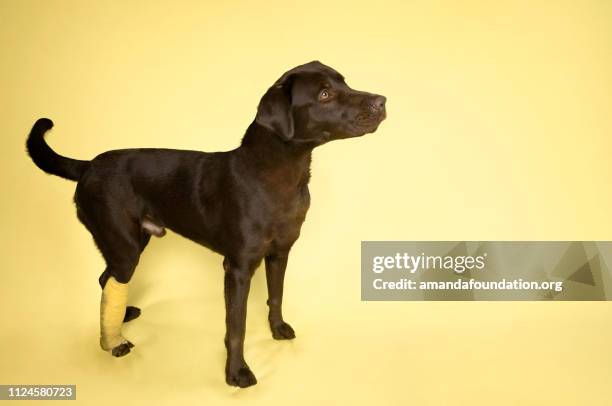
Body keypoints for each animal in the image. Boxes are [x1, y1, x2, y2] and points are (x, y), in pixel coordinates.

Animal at [26, 60, 388, 386]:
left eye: (344, 82)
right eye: (325, 94)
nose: (382, 101)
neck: (282, 173)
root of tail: (88, 165)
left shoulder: (280, 253)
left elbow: (276, 295)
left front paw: (277, 330)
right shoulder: (238, 267)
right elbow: (236, 324)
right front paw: (237, 373)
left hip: (131, 240)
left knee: (106, 278)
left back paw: (123, 316)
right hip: (122, 242)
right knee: (112, 278)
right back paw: (114, 341)